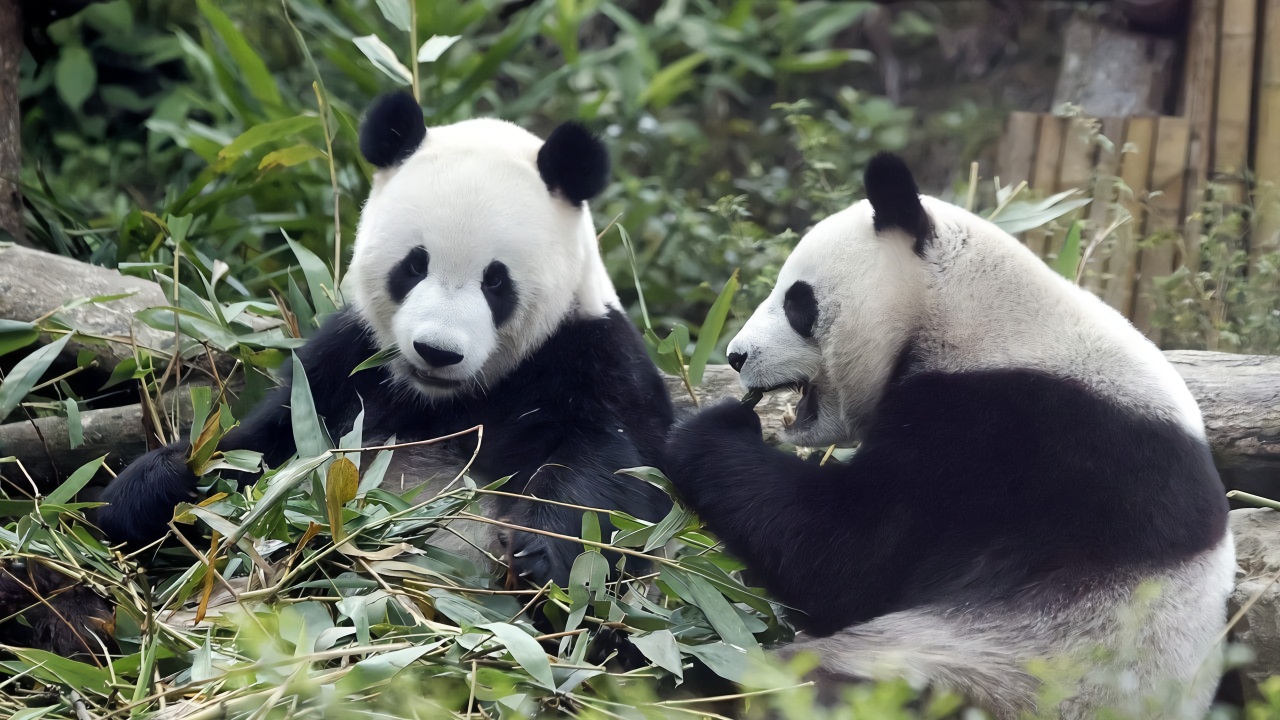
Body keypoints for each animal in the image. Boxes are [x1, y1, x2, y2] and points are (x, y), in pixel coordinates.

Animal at [96, 90, 675, 584]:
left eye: (496, 281)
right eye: (414, 265)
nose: (437, 351)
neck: (446, 398)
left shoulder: (592, 358)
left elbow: (613, 477)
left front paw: (542, 553)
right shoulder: (347, 361)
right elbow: (260, 449)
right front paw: (152, 489)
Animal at [660, 154, 1228, 712]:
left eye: (799, 302)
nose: (736, 356)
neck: (972, 314)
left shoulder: (1004, 432)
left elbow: (848, 556)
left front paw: (707, 429)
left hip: (983, 672)